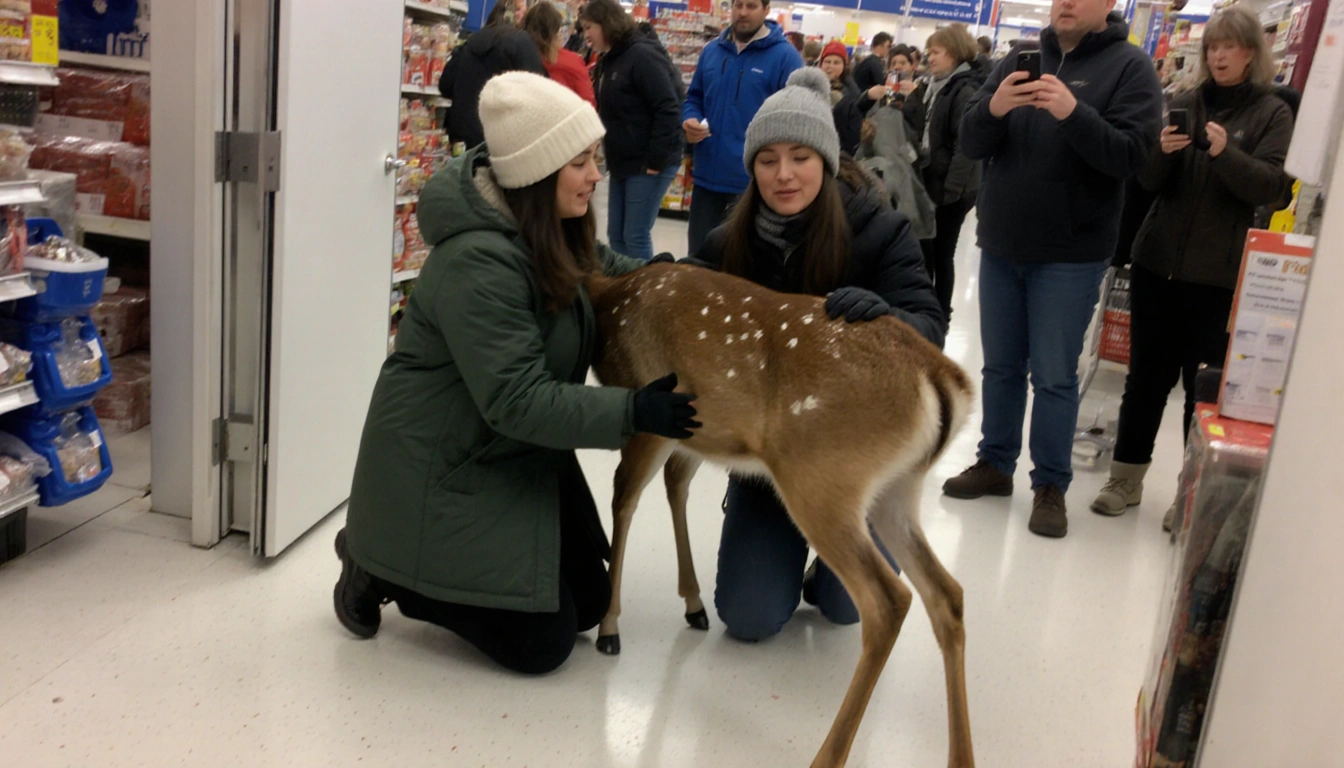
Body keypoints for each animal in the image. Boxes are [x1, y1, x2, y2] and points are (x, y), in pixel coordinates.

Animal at [584, 262, 976, 768]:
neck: (607, 296)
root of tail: (943, 380)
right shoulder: (689, 430)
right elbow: (675, 484)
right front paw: (691, 603)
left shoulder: (648, 406)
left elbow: (623, 497)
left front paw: (609, 626)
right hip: (896, 490)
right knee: (946, 594)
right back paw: (961, 759)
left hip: (820, 478)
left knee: (888, 601)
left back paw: (824, 757)